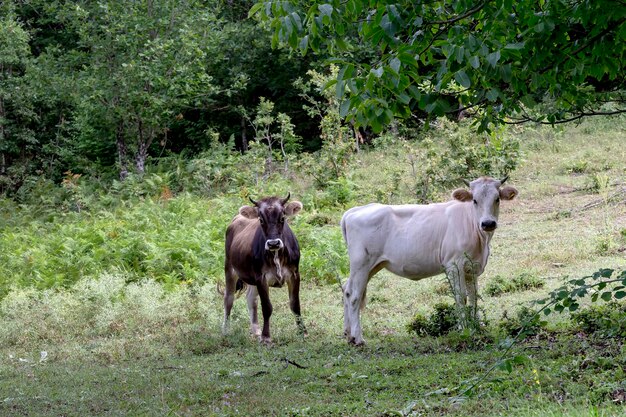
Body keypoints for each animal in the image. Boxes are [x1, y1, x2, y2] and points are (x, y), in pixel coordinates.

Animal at [222, 193, 304, 342]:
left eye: (282, 217)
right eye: (261, 220)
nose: (273, 243)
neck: (277, 255)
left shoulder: (294, 274)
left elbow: (295, 304)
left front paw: (303, 332)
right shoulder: (261, 277)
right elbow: (266, 307)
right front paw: (266, 337)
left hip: (251, 278)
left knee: (251, 299)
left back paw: (256, 330)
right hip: (230, 268)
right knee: (228, 299)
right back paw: (225, 330)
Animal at [342, 176, 516, 344]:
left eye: (497, 199)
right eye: (474, 200)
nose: (488, 223)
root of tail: (356, 210)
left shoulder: (472, 267)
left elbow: (474, 297)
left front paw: (477, 328)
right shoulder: (454, 265)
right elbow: (461, 297)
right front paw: (464, 329)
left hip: (371, 266)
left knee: (347, 290)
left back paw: (348, 334)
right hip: (361, 264)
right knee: (355, 296)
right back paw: (358, 338)